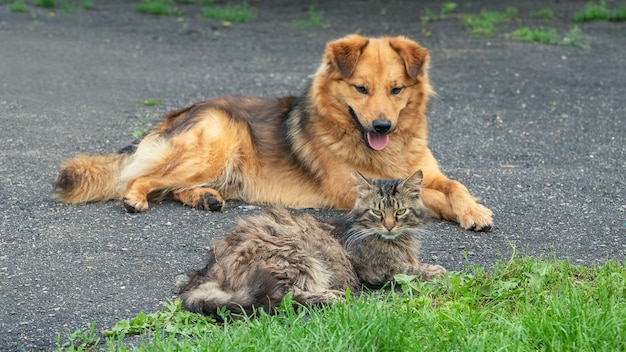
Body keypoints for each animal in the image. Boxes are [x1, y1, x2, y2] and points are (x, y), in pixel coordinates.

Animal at [53, 35, 490, 231]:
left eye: (396, 90)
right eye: (360, 88)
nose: (382, 126)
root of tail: (176, 114)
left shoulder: (426, 172)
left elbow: (453, 185)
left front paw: (473, 210)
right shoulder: (353, 191)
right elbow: (429, 196)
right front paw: (465, 212)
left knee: (173, 187)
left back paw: (205, 199)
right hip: (214, 147)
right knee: (142, 177)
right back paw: (135, 197)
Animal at [176, 170, 444, 316]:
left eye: (400, 212)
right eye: (377, 213)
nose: (389, 226)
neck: (398, 241)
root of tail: (211, 269)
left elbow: (414, 265)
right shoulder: (378, 271)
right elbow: (410, 271)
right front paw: (435, 270)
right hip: (300, 258)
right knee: (287, 296)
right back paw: (332, 297)